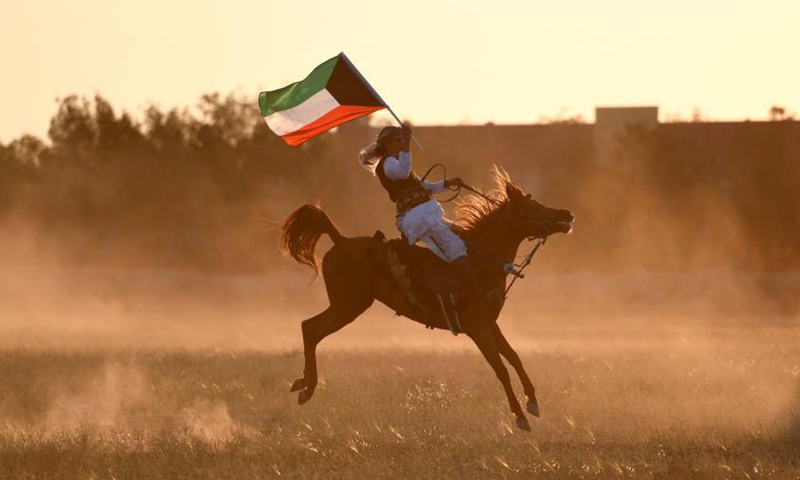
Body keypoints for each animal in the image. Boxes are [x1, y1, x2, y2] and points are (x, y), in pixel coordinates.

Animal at [278, 170, 572, 432]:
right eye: (532, 207)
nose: (566, 215)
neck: (478, 263)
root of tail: (340, 240)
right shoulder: (478, 330)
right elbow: (501, 369)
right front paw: (520, 416)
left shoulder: (491, 325)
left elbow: (514, 357)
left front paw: (533, 402)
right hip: (348, 306)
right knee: (312, 330)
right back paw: (307, 388)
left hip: (344, 306)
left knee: (308, 327)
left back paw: (303, 384)